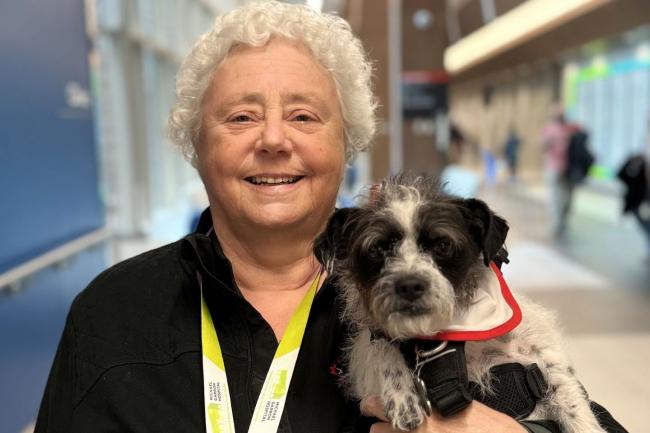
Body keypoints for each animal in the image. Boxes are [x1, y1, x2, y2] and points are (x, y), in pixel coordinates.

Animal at [314, 175, 604, 432]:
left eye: (443, 244)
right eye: (377, 249)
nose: (409, 285)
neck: (447, 340)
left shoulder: (541, 354)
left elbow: (568, 395)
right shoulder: (367, 352)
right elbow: (378, 346)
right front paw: (401, 393)